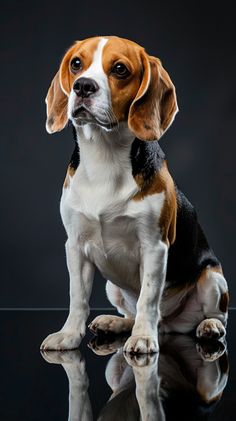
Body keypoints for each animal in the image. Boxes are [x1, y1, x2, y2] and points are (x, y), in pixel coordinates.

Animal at [40, 36, 229, 352]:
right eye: (76, 63)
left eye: (120, 69)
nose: (83, 86)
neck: (104, 157)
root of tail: (169, 326)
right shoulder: (75, 246)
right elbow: (77, 297)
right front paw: (69, 335)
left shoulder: (154, 246)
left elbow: (148, 298)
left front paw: (142, 337)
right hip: (112, 288)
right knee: (130, 311)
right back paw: (116, 323)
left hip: (212, 278)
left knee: (213, 315)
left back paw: (208, 327)